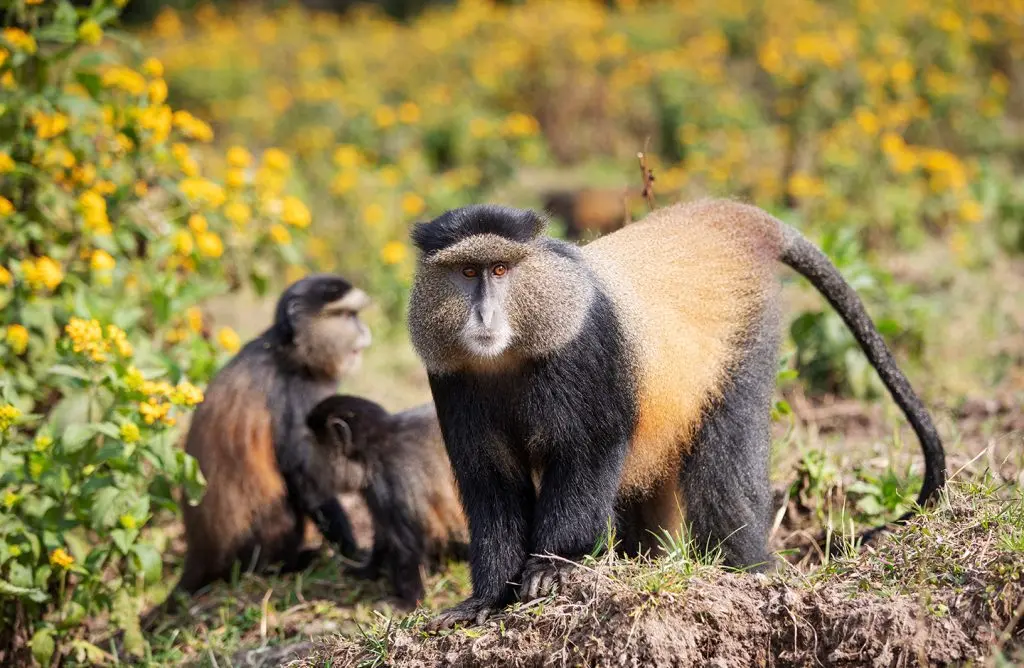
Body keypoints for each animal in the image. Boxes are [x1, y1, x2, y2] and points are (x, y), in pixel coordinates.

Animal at [159, 274, 373, 614]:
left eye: (355, 315)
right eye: (346, 315)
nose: (364, 332)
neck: (289, 351)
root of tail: (198, 556)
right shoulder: (297, 395)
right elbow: (306, 478)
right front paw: (353, 552)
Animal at [304, 394, 469, 608]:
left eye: (315, 446)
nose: (308, 463)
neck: (373, 450)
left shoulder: (391, 476)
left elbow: (407, 545)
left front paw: (410, 600)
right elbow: (383, 533)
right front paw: (367, 570)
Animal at [405, 199, 947, 629]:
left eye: (500, 270)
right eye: (467, 272)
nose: (483, 316)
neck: (512, 352)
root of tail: (725, 220)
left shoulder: (585, 349)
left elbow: (590, 451)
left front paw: (556, 566)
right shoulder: (452, 379)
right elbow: (490, 481)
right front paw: (486, 598)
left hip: (745, 342)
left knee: (725, 479)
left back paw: (749, 573)